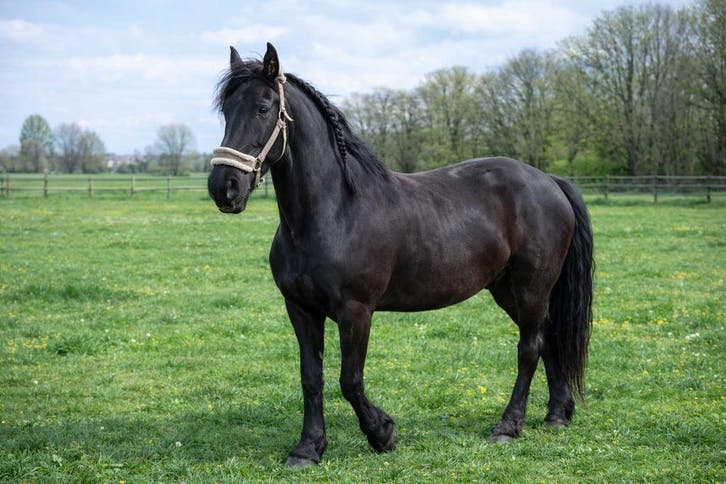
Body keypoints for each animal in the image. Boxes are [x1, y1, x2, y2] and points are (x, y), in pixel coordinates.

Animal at [207, 43, 594, 468]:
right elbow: (312, 378)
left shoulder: (355, 311)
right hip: (508, 290)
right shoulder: (301, 309)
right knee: (549, 337)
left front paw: (383, 434)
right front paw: (307, 448)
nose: (224, 187)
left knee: (529, 349)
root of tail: (549, 181)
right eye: (226, 111)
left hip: (530, 289)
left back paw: (508, 427)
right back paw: (557, 414)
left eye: (263, 108)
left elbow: (349, 380)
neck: (335, 210)